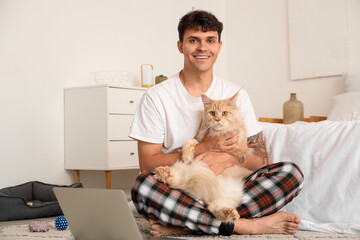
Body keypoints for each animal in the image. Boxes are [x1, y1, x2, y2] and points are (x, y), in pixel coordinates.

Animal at [155, 91, 253, 222]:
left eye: (224, 113)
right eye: (212, 113)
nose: (217, 119)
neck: (217, 133)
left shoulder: (239, 150)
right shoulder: (199, 139)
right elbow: (190, 142)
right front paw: (187, 156)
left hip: (232, 194)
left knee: (214, 209)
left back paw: (230, 214)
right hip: (184, 171)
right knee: (176, 182)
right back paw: (164, 173)